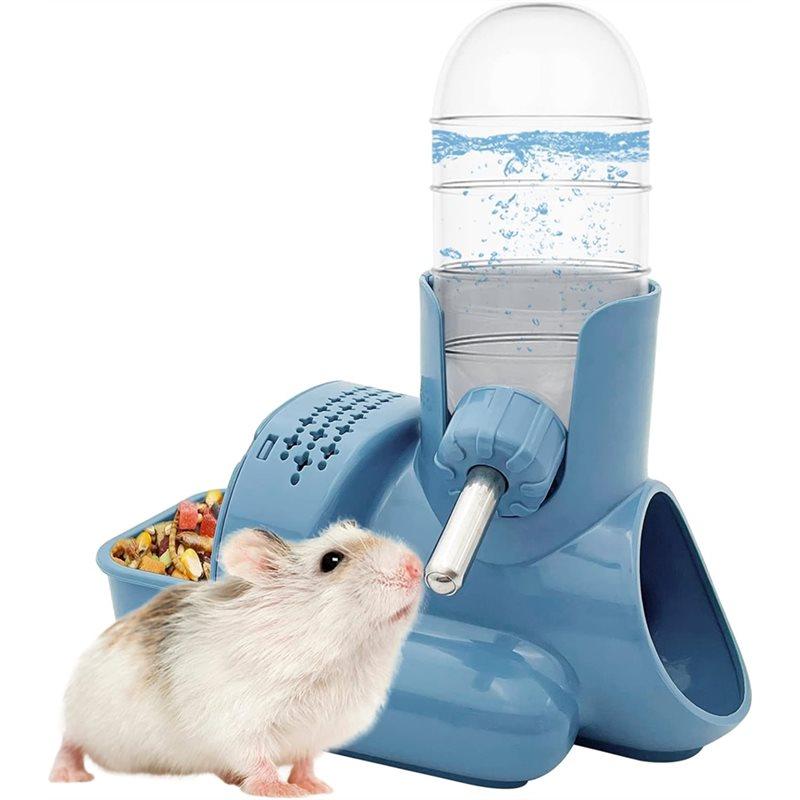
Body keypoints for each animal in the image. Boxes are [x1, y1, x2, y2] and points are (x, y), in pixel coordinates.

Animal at [50, 520, 423, 796]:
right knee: (69, 742)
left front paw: (316, 787)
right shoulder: (236, 721)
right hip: (82, 714)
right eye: (331, 561)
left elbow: (305, 759)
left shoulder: (320, 729)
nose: (416, 566)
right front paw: (282, 791)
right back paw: (68, 777)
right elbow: (256, 759)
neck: (341, 656)